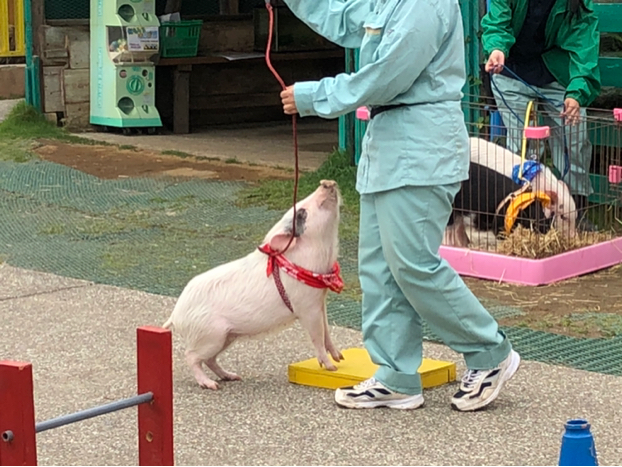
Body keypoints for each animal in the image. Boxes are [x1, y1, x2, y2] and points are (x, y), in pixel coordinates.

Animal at [162, 180, 346, 392]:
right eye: (302, 213)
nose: (326, 182)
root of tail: (175, 315)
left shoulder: (319, 302)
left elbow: (326, 332)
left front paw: (340, 358)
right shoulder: (306, 307)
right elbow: (317, 336)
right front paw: (331, 368)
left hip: (226, 336)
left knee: (209, 360)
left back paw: (232, 377)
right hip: (210, 335)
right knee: (191, 356)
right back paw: (211, 385)